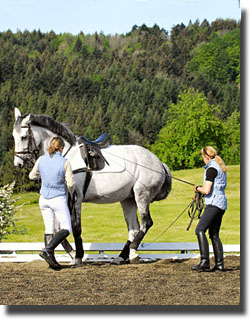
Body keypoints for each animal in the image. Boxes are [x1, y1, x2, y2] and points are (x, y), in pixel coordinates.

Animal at [12, 108, 172, 264]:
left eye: (24, 137)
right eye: (14, 136)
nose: (18, 163)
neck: (66, 155)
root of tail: (158, 162)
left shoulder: (76, 198)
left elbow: (76, 227)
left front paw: (78, 257)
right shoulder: (62, 199)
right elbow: (58, 228)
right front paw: (69, 254)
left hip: (141, 194)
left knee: (146, 223)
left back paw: (131, 251)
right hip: (128, 199)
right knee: (133, 228)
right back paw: (124, 256)